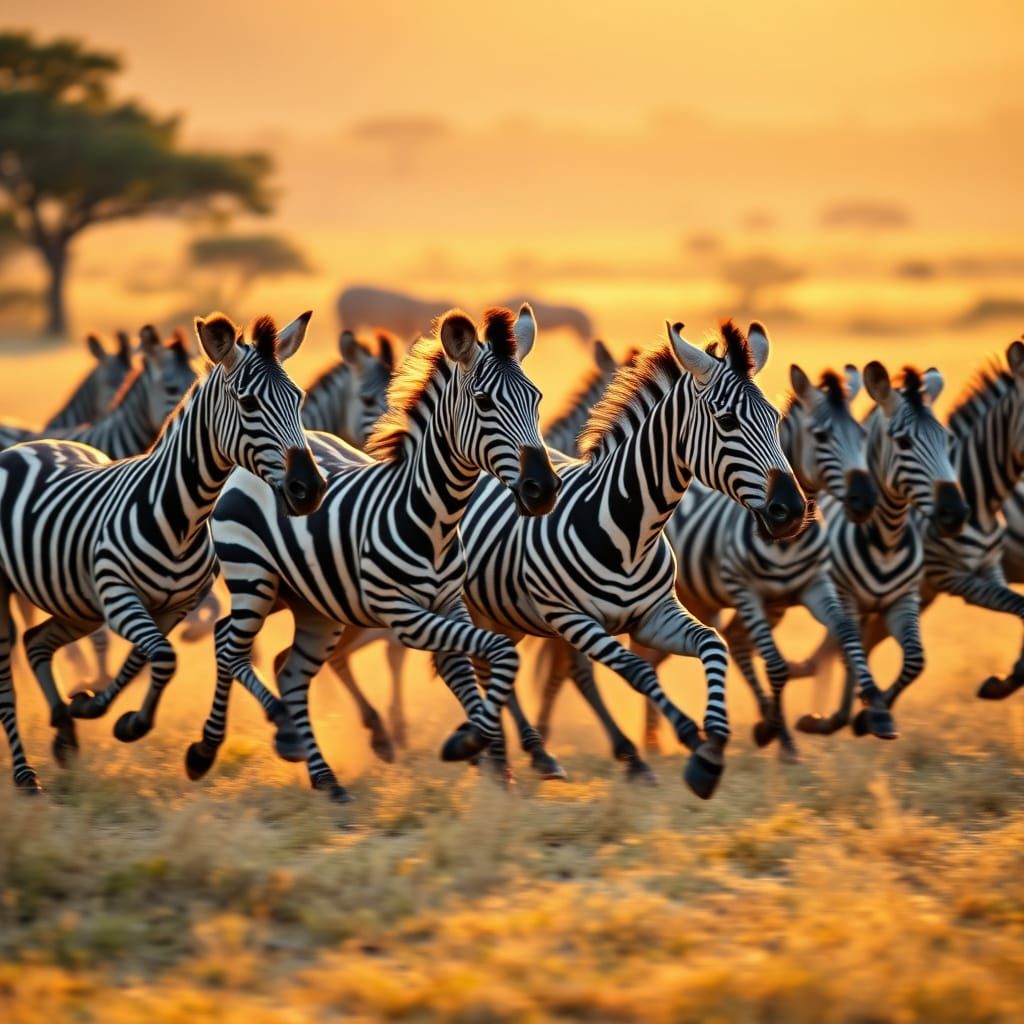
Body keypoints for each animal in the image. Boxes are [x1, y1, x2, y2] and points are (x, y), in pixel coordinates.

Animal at [0, 311, 325, 792]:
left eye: (297, 398)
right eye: (248, 404)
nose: (311, 489)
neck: (182, 516)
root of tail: (26, 445)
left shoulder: (174, 605)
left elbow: (147, 658)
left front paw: (103, 711)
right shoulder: (119, 597)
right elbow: (164, 657)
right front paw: (131, 722)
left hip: (78, 602)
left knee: (36, 642)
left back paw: (63, 729)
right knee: (7, 679)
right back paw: (25, 776)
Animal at [182, 306, 561, 803]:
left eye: (536, 399)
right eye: (483, 402)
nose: (544, 490)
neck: (433, 518)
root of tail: (244, 468)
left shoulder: (449, 605)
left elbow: (465, 668)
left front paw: (477, 747)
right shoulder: (403, 614)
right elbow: (497, 651)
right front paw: (477, 744)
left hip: (312, 606)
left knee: (287, 668)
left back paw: (325, 778)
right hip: (254, 580)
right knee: (230, 645)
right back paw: (209, 751)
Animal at [457, 320, 807, 799]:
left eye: (776, 419)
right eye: (728, 421)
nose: (792, 510)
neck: (630, 530)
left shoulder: (654, 616)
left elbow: (712, 644)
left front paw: (714, 743)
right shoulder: (572, 619)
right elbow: (637, 669)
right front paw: (688, 742)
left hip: (499, 609)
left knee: (497, 664)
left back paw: (522, 756)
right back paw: (500, 758)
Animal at [799, 363, 968, 735]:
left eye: (948, 440)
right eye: (904, 442)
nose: (955, 513)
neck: (887, 539)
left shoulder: (903, 601)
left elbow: (916, 660)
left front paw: (870, 714)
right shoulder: (846, 596)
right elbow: (853, 650)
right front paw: (868, 711)